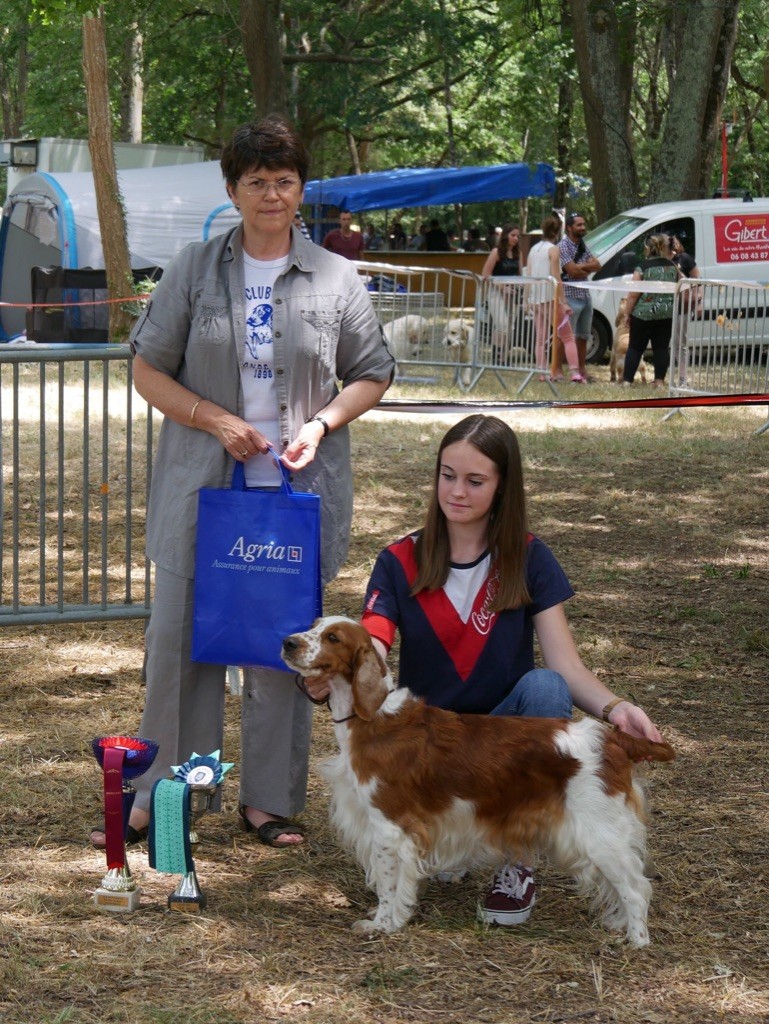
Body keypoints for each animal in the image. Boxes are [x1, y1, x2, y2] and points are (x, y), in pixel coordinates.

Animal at [280, 614, 671, 942]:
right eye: (314, 625)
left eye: (332, 637)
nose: (288, 641)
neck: (371, 717)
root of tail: (613, 738)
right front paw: (388, 918)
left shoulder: (390, 827)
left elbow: (388, 884)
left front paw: (383, 925)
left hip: (599, 832)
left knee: (637, 888)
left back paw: (636, 942)